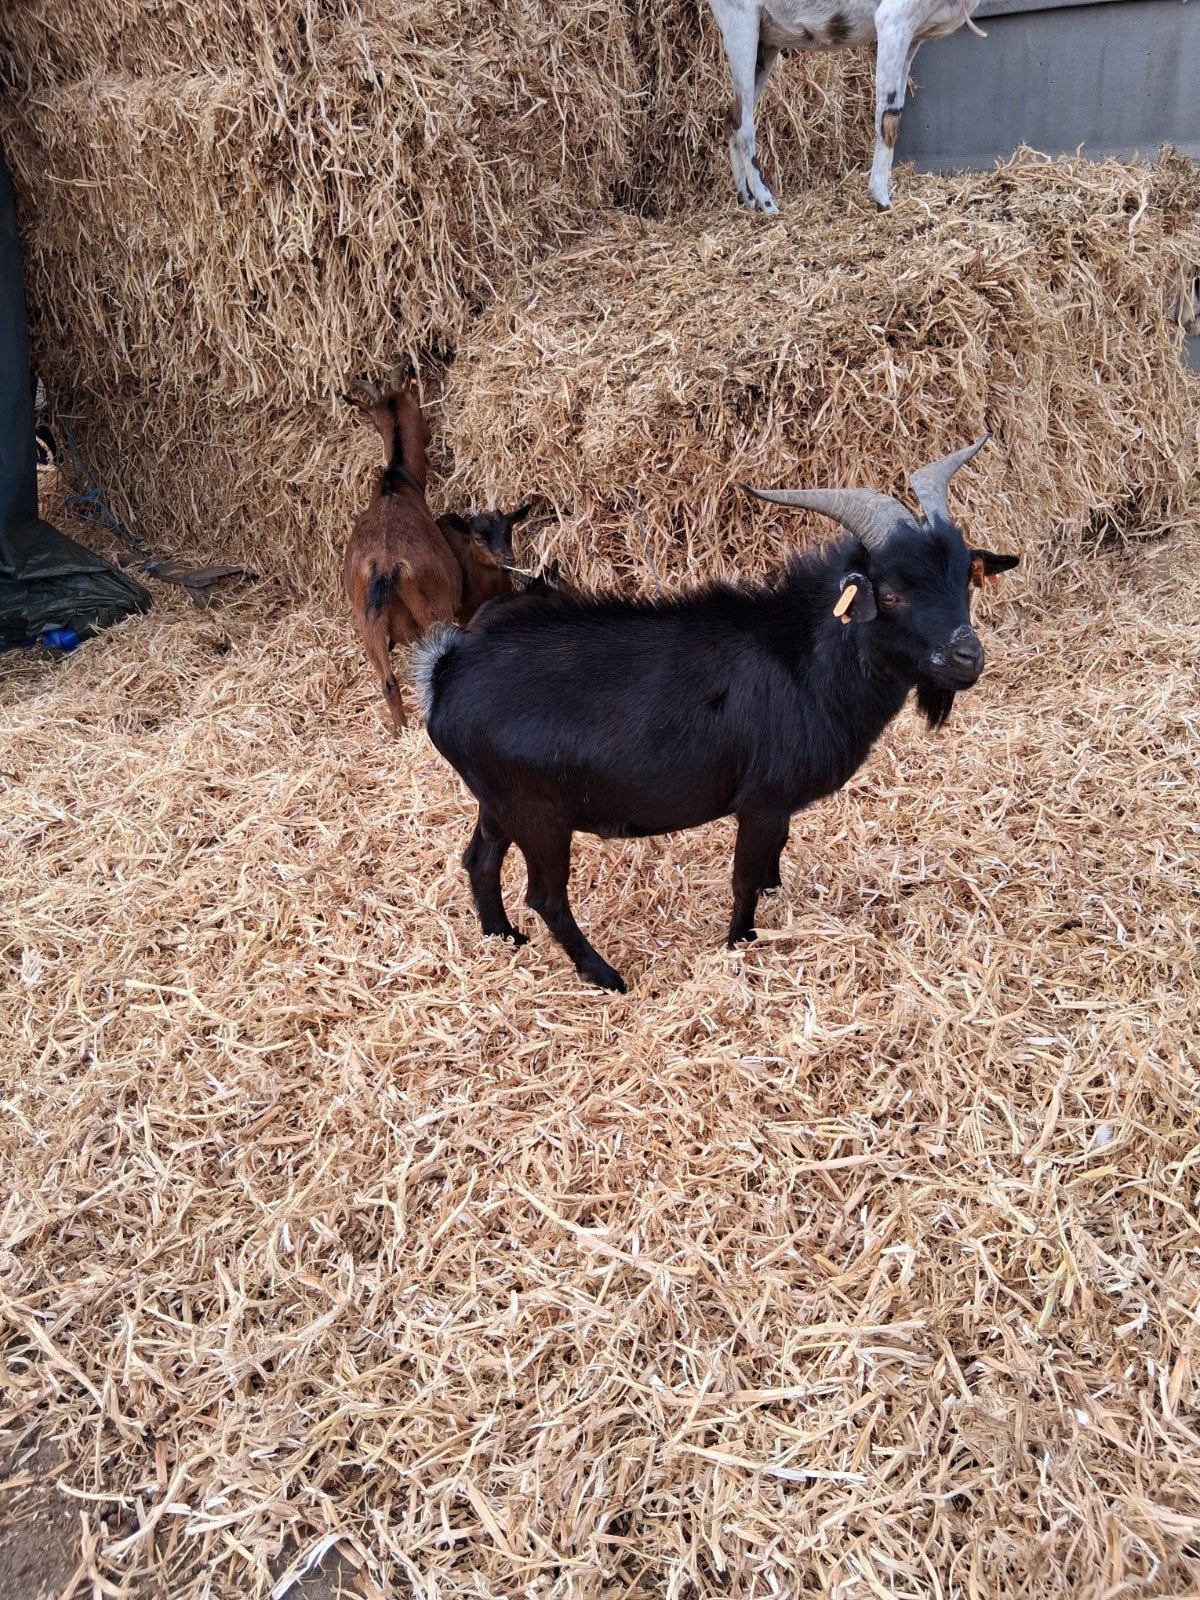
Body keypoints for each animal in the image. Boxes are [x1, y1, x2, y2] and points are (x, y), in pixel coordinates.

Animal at [416, 438, 1016, 993]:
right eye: (890, 594)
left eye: (965, 578)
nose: (968, 657)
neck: (805, 659)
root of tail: (446, 671)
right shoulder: (763, 799)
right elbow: (744, 879)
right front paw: (739, 943)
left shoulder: (779, 806)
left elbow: (771, 864)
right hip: (536, 812)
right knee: (545, 896)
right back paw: (604, 975)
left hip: (497, 801)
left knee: (480, 859)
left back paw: (502, 936)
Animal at [707, 0, 985, 211]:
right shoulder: (893, 21)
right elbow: (889, 118)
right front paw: (882, 201)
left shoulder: (913, 36)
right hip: (739, 21)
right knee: (743, 124)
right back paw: (767, 204)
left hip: (767, 41)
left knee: (732, 117)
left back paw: (748, 200)